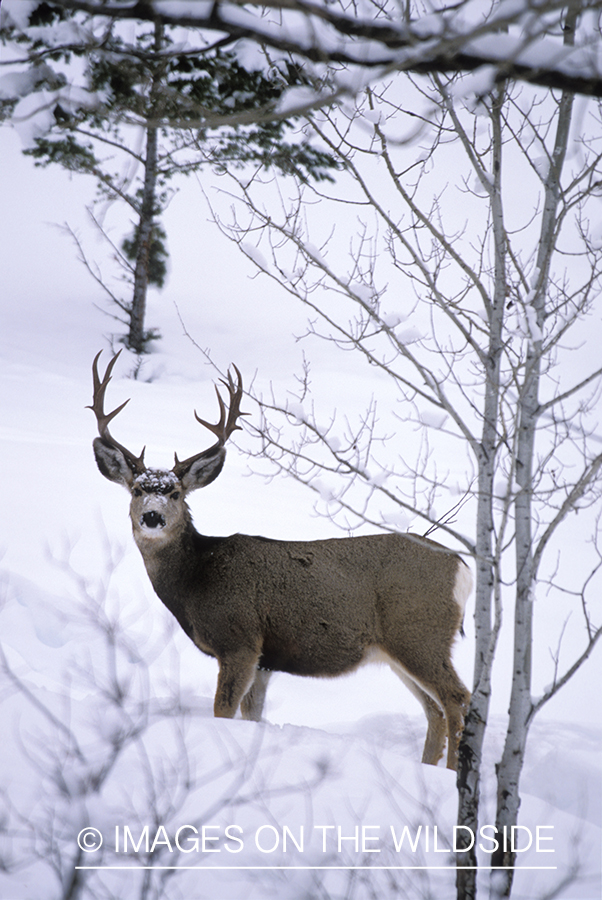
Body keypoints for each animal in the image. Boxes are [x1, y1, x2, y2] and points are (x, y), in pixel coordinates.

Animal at [91, 350, 472, 768]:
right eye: (137, 489)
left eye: (175, 493)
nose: (152, 517)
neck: (196, 578)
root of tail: (461, 567)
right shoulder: (264, 660)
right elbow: (252, 715)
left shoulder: (240, 640)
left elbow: (222, 711)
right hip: (399, 649)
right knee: (434, 710)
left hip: (419, 633)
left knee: (457, 698)